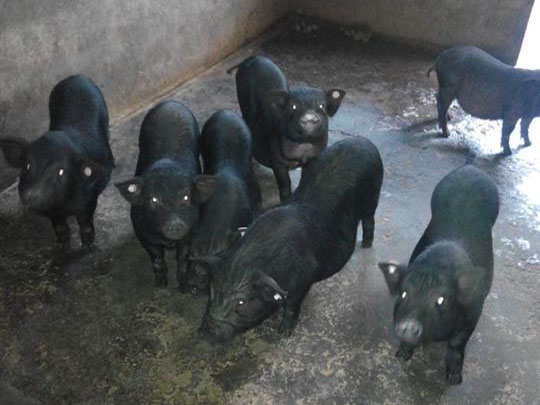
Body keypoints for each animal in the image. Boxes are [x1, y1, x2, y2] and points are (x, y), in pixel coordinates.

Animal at [0, 75, 114, 251]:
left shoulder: (89, 198)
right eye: (27, 166)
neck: (64, 205)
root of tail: (74, 77)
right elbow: (59, 227)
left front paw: (87, 247)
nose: (31, 194)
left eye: (61, 171)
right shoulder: (52, 212)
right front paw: (62, 247)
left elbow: (85, 222)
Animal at [115, 100, 203, 288]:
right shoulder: (141, 231)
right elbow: (156, 256)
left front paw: (184, 286)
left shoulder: (192, 230)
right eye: (154, 199)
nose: (175, 222)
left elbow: (183, 256)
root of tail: (171, 102)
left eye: (186, 197)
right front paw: (161, 284)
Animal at [199, 136, 383, 342]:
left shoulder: (304, 277)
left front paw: (283, 334)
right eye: (212, 291)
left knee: (369, 220)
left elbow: (292, 306)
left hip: (373, 197)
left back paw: (366, 245)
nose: (205, 330)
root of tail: (364, 141)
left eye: (241, 302)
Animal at [227, 55, 346, 201]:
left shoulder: (315, 157)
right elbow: (284, 182)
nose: (309, 116)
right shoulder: (277, 159)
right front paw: (285, 199)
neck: (303, 149)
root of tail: (251, 58)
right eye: (293, 106)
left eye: (322, 105)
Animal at [379, 165, 499, 384]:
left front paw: (454, 379)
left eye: (441, 300)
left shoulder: (474, 311)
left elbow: (457, 344)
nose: (408, 325)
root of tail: (471, 167)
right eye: (403, 294)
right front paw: (401, 356)